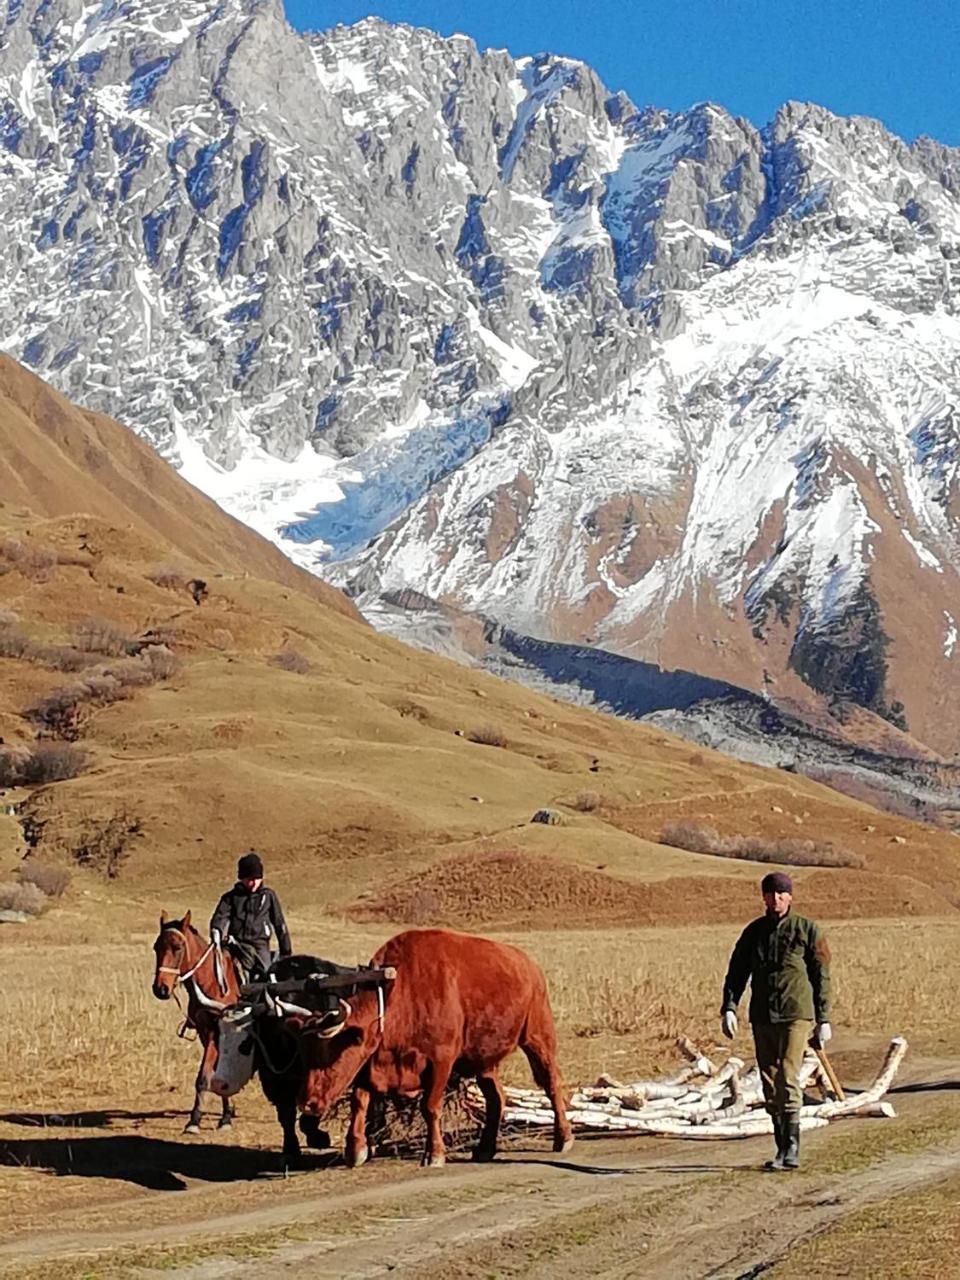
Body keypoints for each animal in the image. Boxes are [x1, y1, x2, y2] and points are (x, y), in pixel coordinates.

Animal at [152, 911, 244, 1131]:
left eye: (178, 947)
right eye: (156, 947)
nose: (161, 989)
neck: (210, 982)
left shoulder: (218, 1034)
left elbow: (206, 1075)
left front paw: (196, 1120)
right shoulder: (205, 1032)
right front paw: (224, 1116)